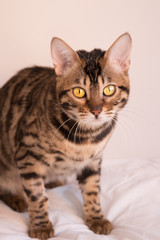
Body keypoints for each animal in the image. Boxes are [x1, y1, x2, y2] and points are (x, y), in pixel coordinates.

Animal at [0, 32, 131, 239]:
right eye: (79, 91)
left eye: (109, 89)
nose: (96, 111)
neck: (86, 138)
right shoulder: (27, 155)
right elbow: (37, 195)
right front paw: (41, 226)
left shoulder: (93, 161)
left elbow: (93, 191)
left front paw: (96, 218)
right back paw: (17, 199)